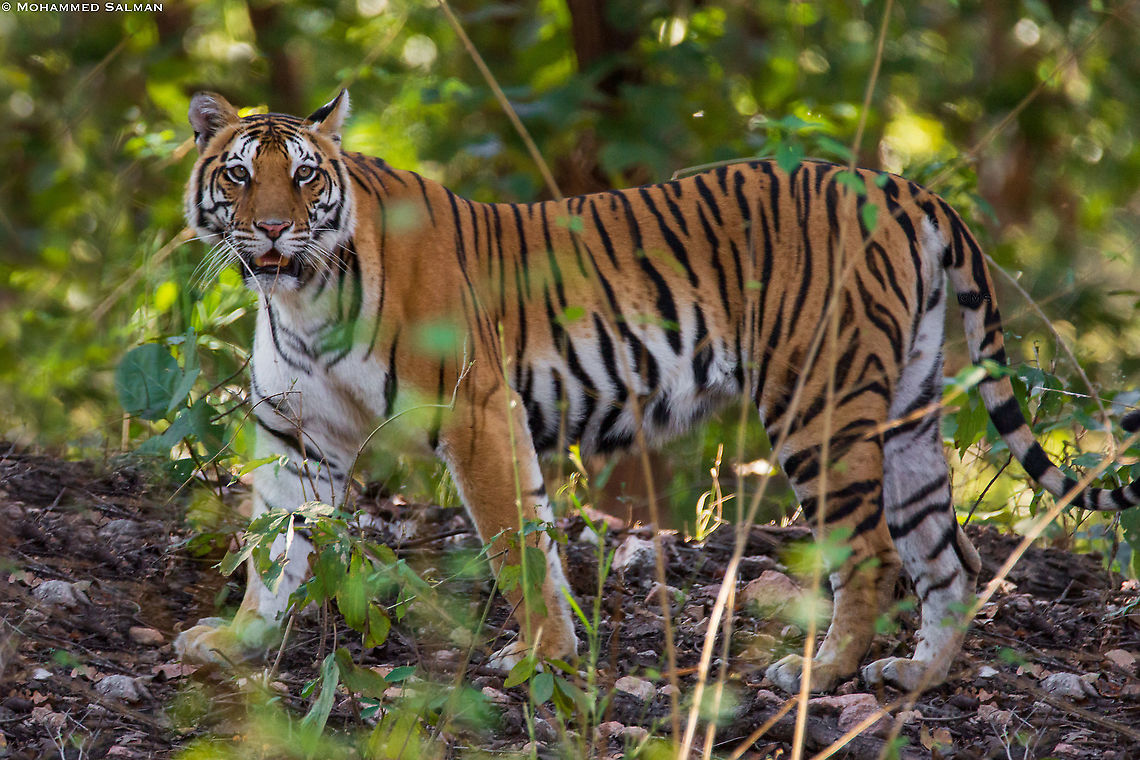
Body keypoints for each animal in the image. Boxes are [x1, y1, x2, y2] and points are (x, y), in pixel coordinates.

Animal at [174, 89, 1140, 694]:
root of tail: (901, 184)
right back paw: (912, 679)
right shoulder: (296, 433)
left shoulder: (479, 412)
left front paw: (540, 662)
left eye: (304, 175)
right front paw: (239, 641)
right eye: (238, 174)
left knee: (873, 555)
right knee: (949, 557)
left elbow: (516, 551)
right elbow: (276, 548)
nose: (271, 228)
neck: (301, 293)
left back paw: (819, 677)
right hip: (904, 412)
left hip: (819, 405)